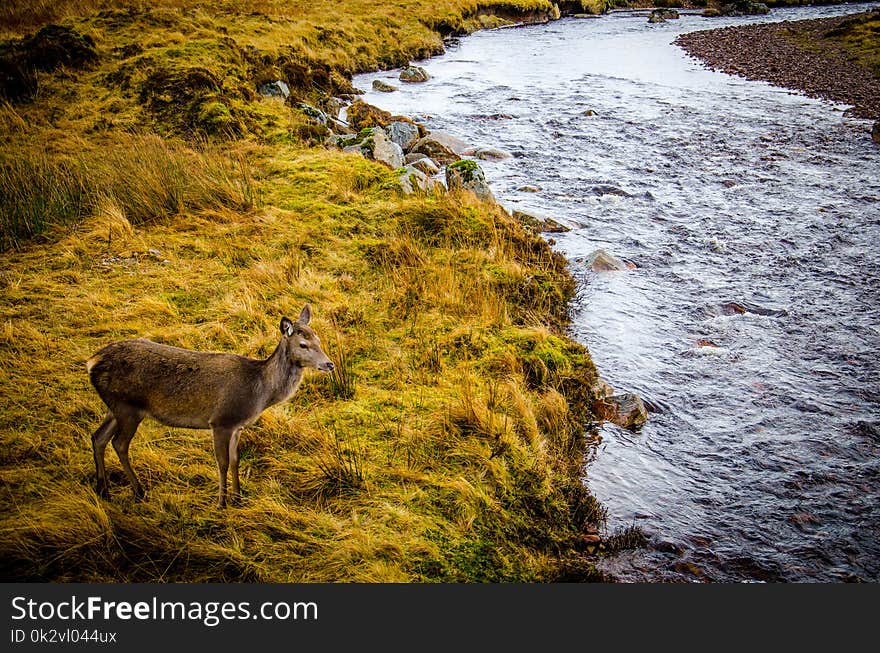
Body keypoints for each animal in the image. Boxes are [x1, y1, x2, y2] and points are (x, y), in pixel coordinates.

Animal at [87, 304, 334, 506]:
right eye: (303, 344)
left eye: (319, 340)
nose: (329, 364)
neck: (259, 392)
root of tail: (92, 362)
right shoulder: (221, 420)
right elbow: (222, 462)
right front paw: (222, 503)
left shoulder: (237, 426)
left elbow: (235, 461)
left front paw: (238, 498)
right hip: (128, 407)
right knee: (119, 443)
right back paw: (138, 491)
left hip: (116, 407)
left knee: (98, 437)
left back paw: (103, 490)